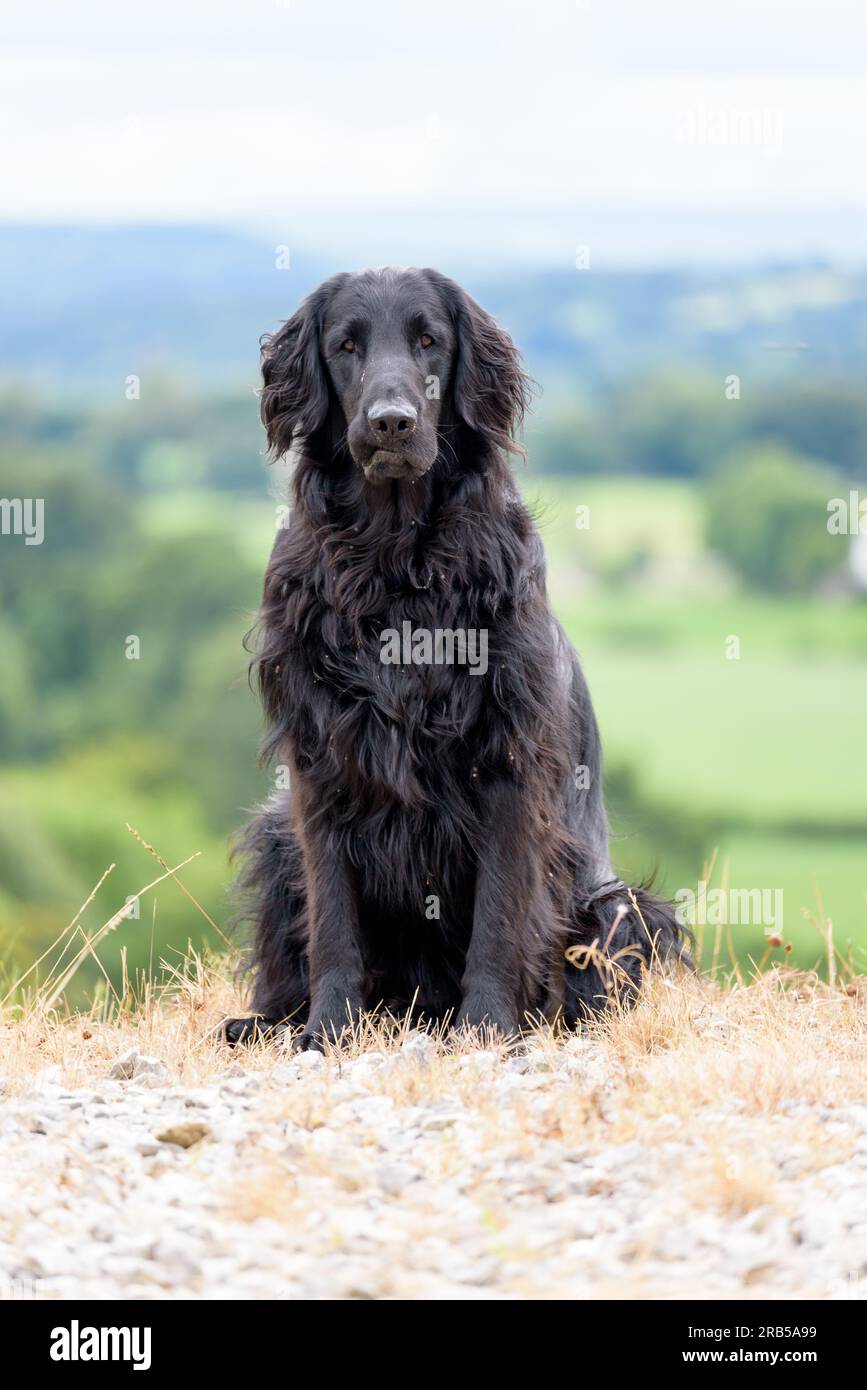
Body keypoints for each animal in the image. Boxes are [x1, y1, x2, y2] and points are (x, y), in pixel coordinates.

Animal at [226, 265, 686, 1045]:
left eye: (428, 342)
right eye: (345, 346)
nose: (391, 422)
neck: (393, 560)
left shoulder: (506, 764)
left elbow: (499, 917)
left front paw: (489, 1026)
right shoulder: (319, 762)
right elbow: (334, 922)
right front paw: (328, 1029)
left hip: (612, 904)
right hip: (276, 831)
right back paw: (269, 1023)